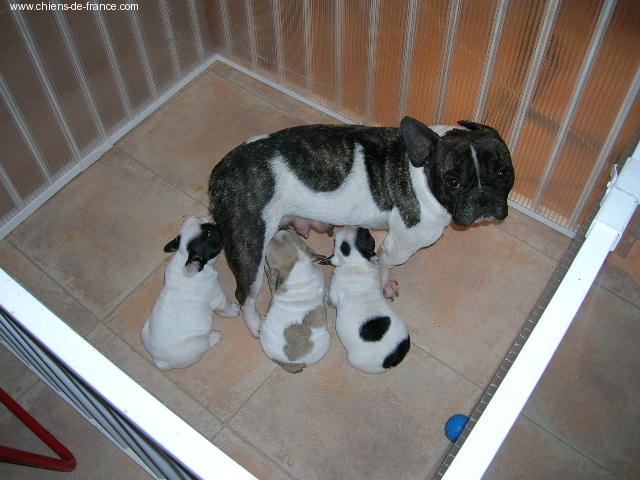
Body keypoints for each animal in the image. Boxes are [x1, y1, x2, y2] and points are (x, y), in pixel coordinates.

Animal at [141, 216, 240, 370]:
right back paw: (214, 337)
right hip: (198, 344)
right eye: (209, 235)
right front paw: (233, 310)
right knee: (206, 344)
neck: (184, 258)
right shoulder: (218, 299)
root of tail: (159, 360)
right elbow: (225, 309)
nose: (213, 218)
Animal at [209, 117, 514, 337]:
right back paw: (256, 325)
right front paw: (384, 284)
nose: (483, 197)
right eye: (453, 181)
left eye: (503, 172)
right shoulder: (400, 245)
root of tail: (222, 169)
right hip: (250, 246)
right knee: (245, 294)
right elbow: (384, 264)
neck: (419, 170)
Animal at [322, 227, 410, 373]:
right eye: (368, 238)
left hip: (356, 361)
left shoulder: (334, 293)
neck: (355, 263)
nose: (363, 227)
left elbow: (331, 300)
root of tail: (393, 356)